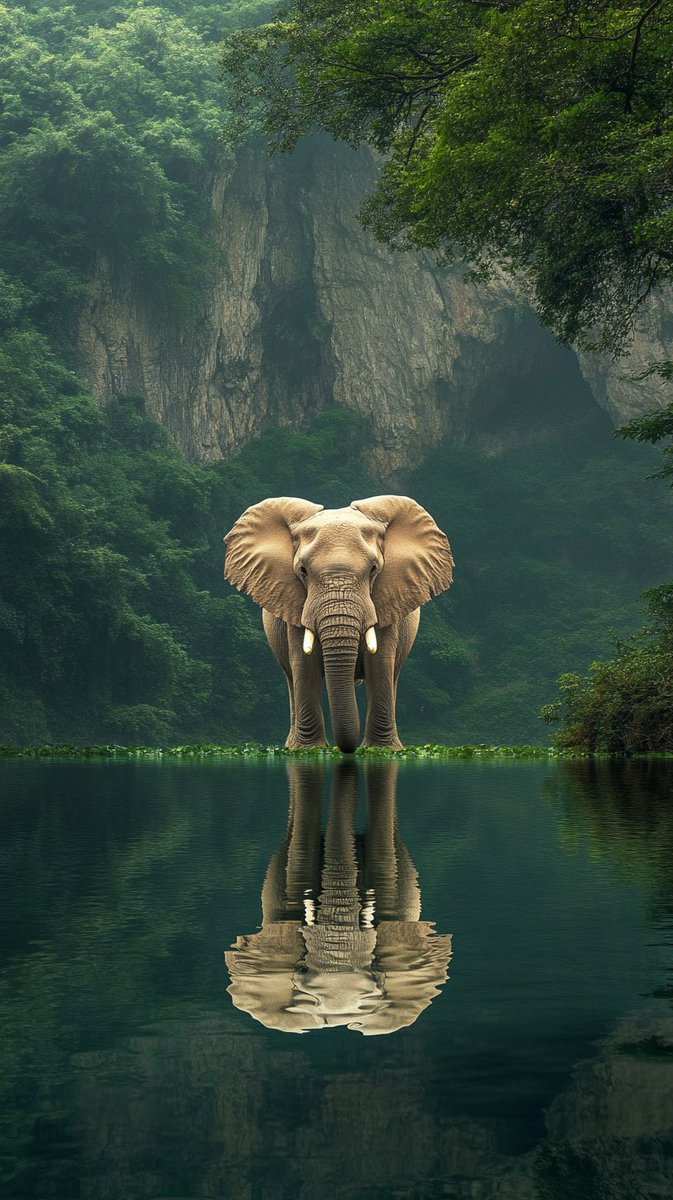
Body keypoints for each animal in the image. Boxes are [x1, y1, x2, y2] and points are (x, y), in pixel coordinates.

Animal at [224, 495, 453, 751]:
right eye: (302, 571)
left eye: (374, 569)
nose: (348, 749)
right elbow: (304, 665)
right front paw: (310, 750)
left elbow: (380, 665)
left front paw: (380, 750)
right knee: (291, 676)